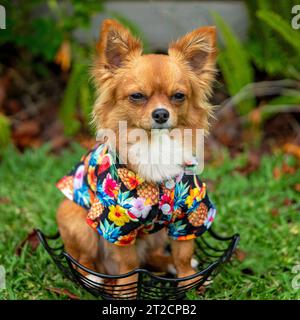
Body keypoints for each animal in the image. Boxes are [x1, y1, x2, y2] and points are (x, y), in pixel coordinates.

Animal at [55, 19, 217, 296]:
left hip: (156, 235)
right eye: (137, 96)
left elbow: (183, 254)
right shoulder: (117, 223)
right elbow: (128, 265)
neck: (154, 144)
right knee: (81, 259)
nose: (161, 113)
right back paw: (92, 276)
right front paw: (127, 291)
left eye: (179, 96)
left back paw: (167, 263)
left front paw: (189, 280)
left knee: (151, 256)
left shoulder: (189, 215)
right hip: (75, 219)